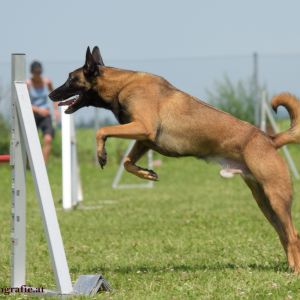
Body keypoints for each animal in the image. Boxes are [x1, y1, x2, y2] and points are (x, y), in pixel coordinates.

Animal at [49, 46, 300, 272]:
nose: (51, 95)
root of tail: (269, 139)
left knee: (293, 235)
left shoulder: (143, 128)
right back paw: (289, 267)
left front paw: (101, 154)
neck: (121, 84)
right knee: (284, 235)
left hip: (276, 196)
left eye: (70, 79)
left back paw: (295, 271)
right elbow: (127, 162)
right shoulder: (144, 139)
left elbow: (101, 131)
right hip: (264, 201)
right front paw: (147, 173)